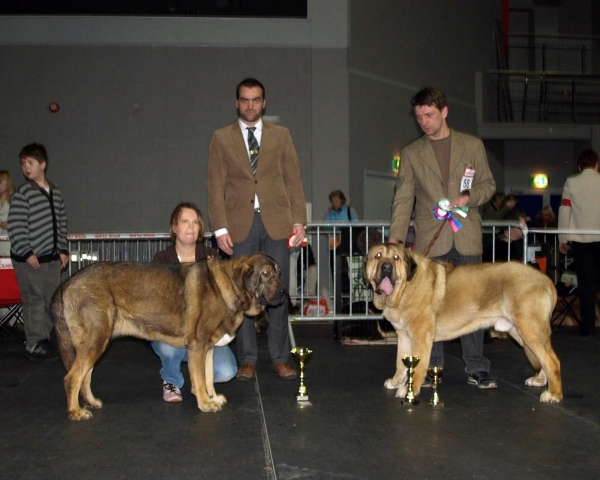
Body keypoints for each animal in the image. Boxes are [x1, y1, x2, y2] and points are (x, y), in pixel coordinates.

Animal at [51, 253, 286, 422]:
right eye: (265, 273)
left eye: (279, 272)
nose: (284, 292)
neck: (231, 287)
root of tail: (67, 282)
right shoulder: (198, 346)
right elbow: (200, 380)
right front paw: (205, 403)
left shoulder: (209, 348)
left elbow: (209, 377)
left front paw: (212, 397)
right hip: (96, 339)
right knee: (72, 378)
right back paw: (75, 411)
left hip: (96, 341)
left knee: (85, 376)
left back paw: (91, 402)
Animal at [364, 242, 564, 404]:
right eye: (378, 256)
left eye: (396, 258)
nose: (387, 267)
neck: (405, 286)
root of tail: (546, 280)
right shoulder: (404, 335)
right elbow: (401, 364)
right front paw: (396, 382)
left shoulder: (420, 336)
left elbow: (418, 367)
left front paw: (409, 391)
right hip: (520, 331)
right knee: (543, 358)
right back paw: (540, 380)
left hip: (530, 329)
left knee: (552, 360)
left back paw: (553, 394)